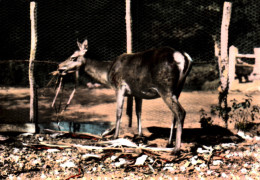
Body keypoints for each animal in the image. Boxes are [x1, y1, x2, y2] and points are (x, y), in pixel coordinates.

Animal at [53, 39, 192, 153]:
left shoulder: (120, 86)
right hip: (178, 88)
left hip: (165, 87)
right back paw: (169, 143)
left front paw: (114, 136)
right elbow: (138, 112)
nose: (59, 66)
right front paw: (140, 136)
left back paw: (176, 149)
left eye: (73, 57)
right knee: (174, 114)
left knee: (180, 112)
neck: (107, 73)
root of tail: (185, 58)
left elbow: (118, 112)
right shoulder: (137, 92)